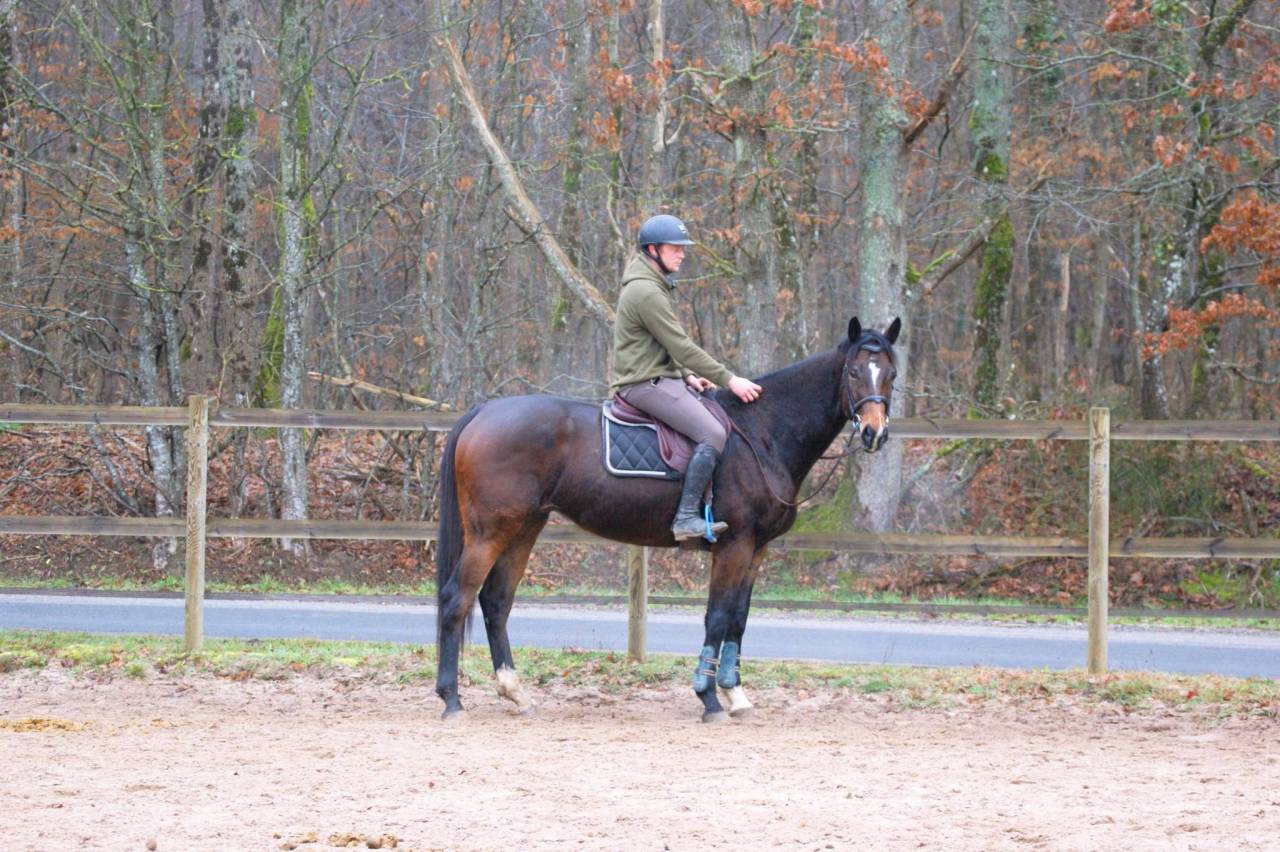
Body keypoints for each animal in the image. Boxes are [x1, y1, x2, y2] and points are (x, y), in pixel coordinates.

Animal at [434, 316, 900, 722]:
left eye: (891, 374)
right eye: (854, 372)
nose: (874, 433)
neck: (761, 430)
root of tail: (482, 412)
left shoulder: (756, 550)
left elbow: (739, 618)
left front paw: (735, 692)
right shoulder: (735, 545)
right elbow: (718, 616)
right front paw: (709, 697)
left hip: (524, 529)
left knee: (496, 602)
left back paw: (514, 691)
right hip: (490, 533)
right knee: (457, 598)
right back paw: (451, 698)